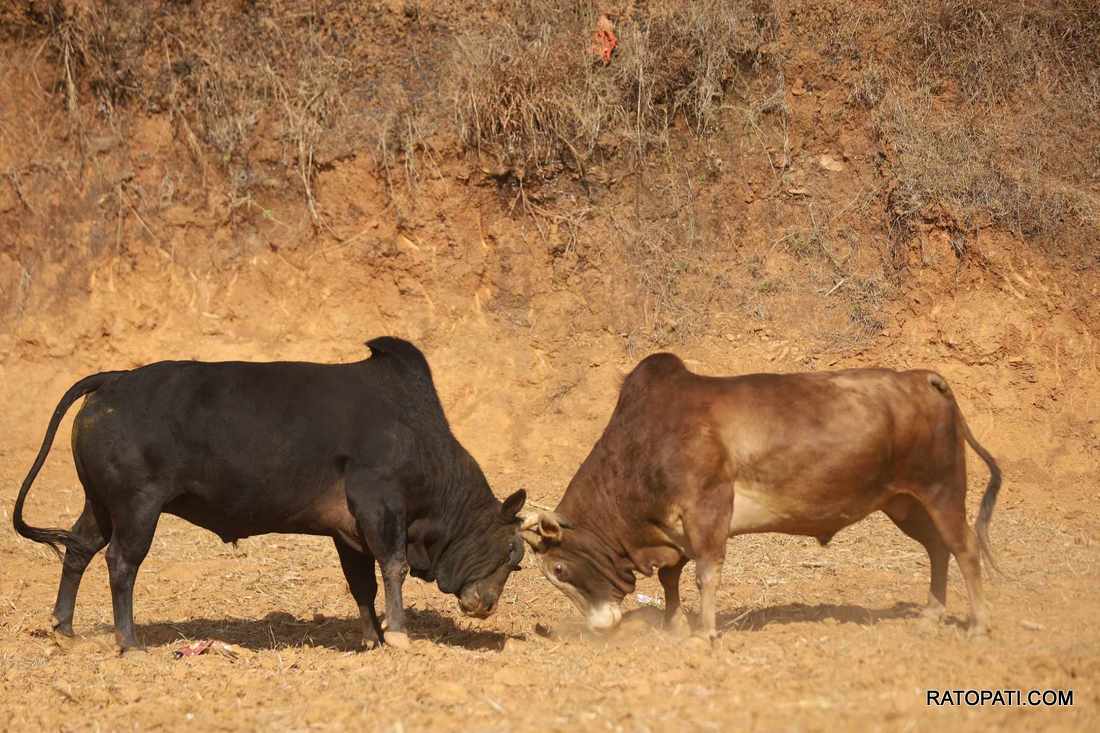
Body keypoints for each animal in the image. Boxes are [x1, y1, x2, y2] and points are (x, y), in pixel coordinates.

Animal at [11, 334, 528, 647]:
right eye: (512, 554)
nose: (486, 606)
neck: (417, 431)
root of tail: (114, 379)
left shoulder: (348, 533)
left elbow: (361, 584)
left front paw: (372, 638)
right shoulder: (380, 507)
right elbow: (393, 567)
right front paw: (398, 635)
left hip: (100, 504)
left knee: (78, 549)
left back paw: (65, 630)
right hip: (137, 508)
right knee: (121, 562)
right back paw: (130, 641)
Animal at [519, 356, 1003, 638]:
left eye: (558, 569)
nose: (598, 626)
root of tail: (923, 378)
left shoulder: (707, 510)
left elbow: (705, 574)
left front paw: (706, 633)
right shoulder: (673, 532)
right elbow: (671, 579)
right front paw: (674, 628)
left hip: (941, 492)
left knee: (964, 549)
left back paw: (978, 625)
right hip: (905, 504)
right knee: (939, 550)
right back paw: (930, 616)